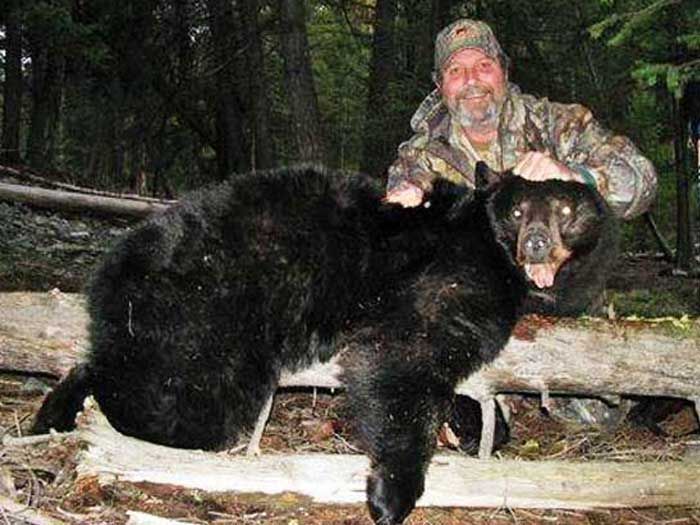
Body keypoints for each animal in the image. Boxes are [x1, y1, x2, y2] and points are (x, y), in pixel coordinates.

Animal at [30, 164, 616, 524]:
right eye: (517, 211)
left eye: (566, 210)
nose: (535, 242)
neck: (488, 245)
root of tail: (113, 267)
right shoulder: (448, 278)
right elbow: (406, 356)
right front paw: (392, 492)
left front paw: (473, 428)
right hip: (205, 322)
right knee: (170, 402)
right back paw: (64, 418)